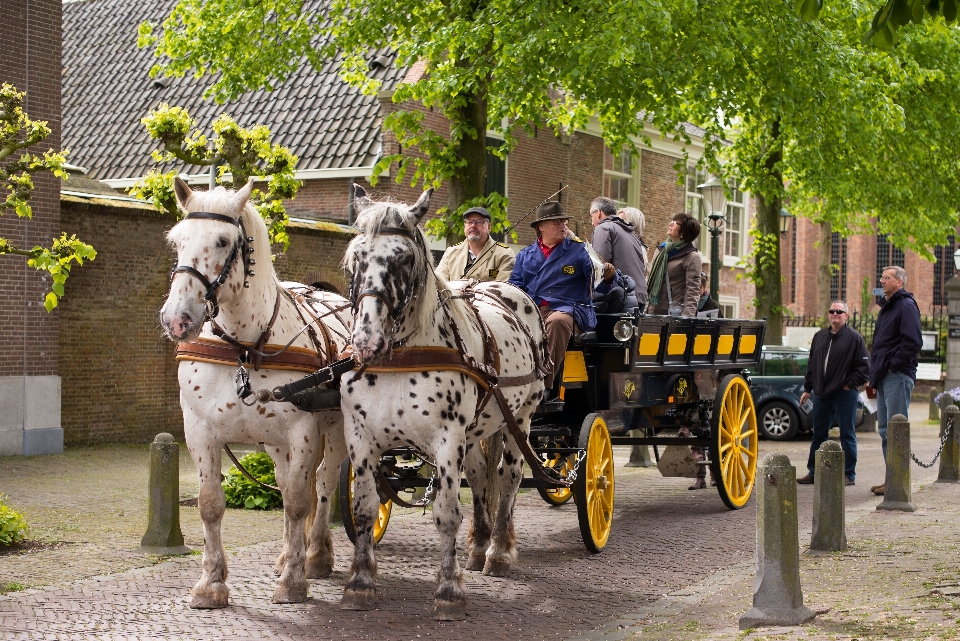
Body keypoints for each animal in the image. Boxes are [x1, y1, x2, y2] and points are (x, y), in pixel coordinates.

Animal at [158, 178, 352, 608]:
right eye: (176, 241)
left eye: (222, 240)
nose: (177, 319)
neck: (245, 348)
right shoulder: (199, 431)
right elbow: (210, 504)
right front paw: (211, 583)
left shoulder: (302, 431)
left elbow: (297, 501)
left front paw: (293, 581)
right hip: (276, 444)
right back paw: (290, 555)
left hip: (336, 430)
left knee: (324, 483)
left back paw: (315, 555)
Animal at [342, 185, 564, 620]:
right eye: (356, 256)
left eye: (404, 258)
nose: (366, 340)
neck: (401, 357)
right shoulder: (361, 438)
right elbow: (364, 507)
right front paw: (360, 583)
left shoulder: (446, 439)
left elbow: (446, 513)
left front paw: (448, 590)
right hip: (477, 429)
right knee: (479, 477)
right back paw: (477, 549)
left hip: (520, 420)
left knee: (507, 479)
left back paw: (498, 552)